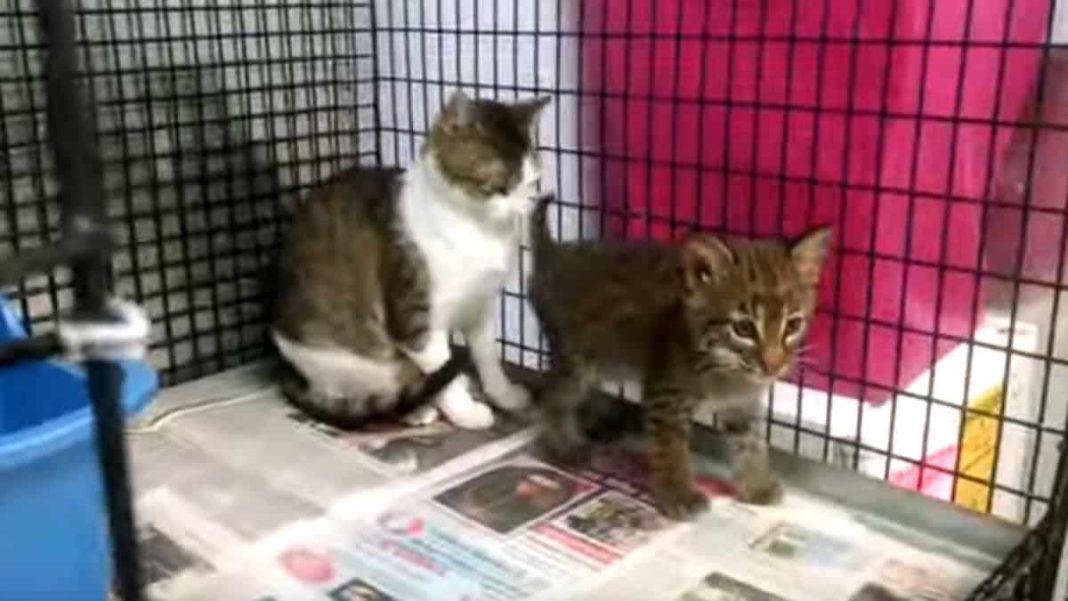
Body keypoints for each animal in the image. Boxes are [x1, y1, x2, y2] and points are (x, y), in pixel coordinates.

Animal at [273, 89, 551, 431]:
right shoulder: (416, 322)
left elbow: (488, 355)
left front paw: (504, 395)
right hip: (356, 358)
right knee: (379, 387)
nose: (530, 204)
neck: (477, 229)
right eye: (501, 186)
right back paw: (415, 409)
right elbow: (444, 372)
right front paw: (467, 412)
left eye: (533, 181)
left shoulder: (482, 304)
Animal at [529, 196, 828, 516]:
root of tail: (555, 252)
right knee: (552, 397)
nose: (773, 366)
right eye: (744, 328)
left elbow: (751, 439)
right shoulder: (667, 395)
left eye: (793, 325)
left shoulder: (743, 401)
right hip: (577, 359)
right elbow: (670, 447)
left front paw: (757, 483)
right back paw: (562, 447)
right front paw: (678, 493)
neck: (727, 365)